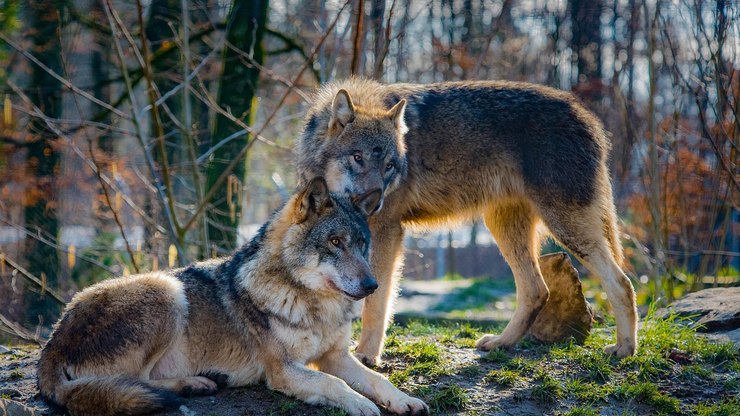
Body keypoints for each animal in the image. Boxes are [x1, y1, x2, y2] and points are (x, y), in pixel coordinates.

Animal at [37, 177, 428, 416]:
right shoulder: (283, 370)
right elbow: (333, 383)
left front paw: (404, 400)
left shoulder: (335, 356)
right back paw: (193, 383)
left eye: (362, 244)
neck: (312, 304)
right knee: (135, 382)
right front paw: (361, 404)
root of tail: (52, 341)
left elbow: (377, 379)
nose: (372, 285)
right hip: (166, 290)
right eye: (335, 242)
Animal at [296, 78, 639, 366]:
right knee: (537, 290)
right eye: (358, 158)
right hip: (504, 228)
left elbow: (376, 300)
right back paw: (501, 343)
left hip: (566, 228)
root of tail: (588, 116)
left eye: (390, 166)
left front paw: (367, 355)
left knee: (621, 282)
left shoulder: (386, 231)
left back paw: (625, 349)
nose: (375, 201)